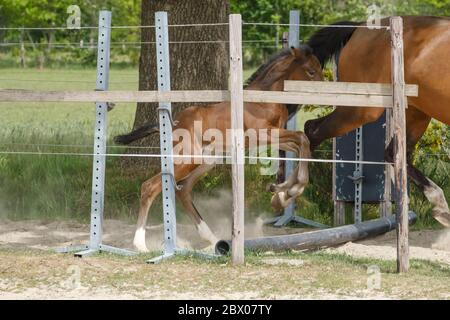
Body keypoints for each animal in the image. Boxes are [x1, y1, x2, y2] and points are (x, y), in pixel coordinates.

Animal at [114, 45, 322, 252]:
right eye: (311, 71)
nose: (323, 92)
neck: (261, 101)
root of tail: (173, 123)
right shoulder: (264, 134)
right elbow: (302, 139)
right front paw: (287, 193)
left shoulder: (272, 137)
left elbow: (302, 147)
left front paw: (281, 193)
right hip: (188, 159)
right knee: (150, 187)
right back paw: (140, 244)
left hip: (206, 161)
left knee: (183, 190)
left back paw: (213, 240)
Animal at [306, 16, 450, 228]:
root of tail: (360, 28)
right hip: (362, 109)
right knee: (312, 129)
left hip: (416, 113)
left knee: (394, 154)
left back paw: (440, 205)